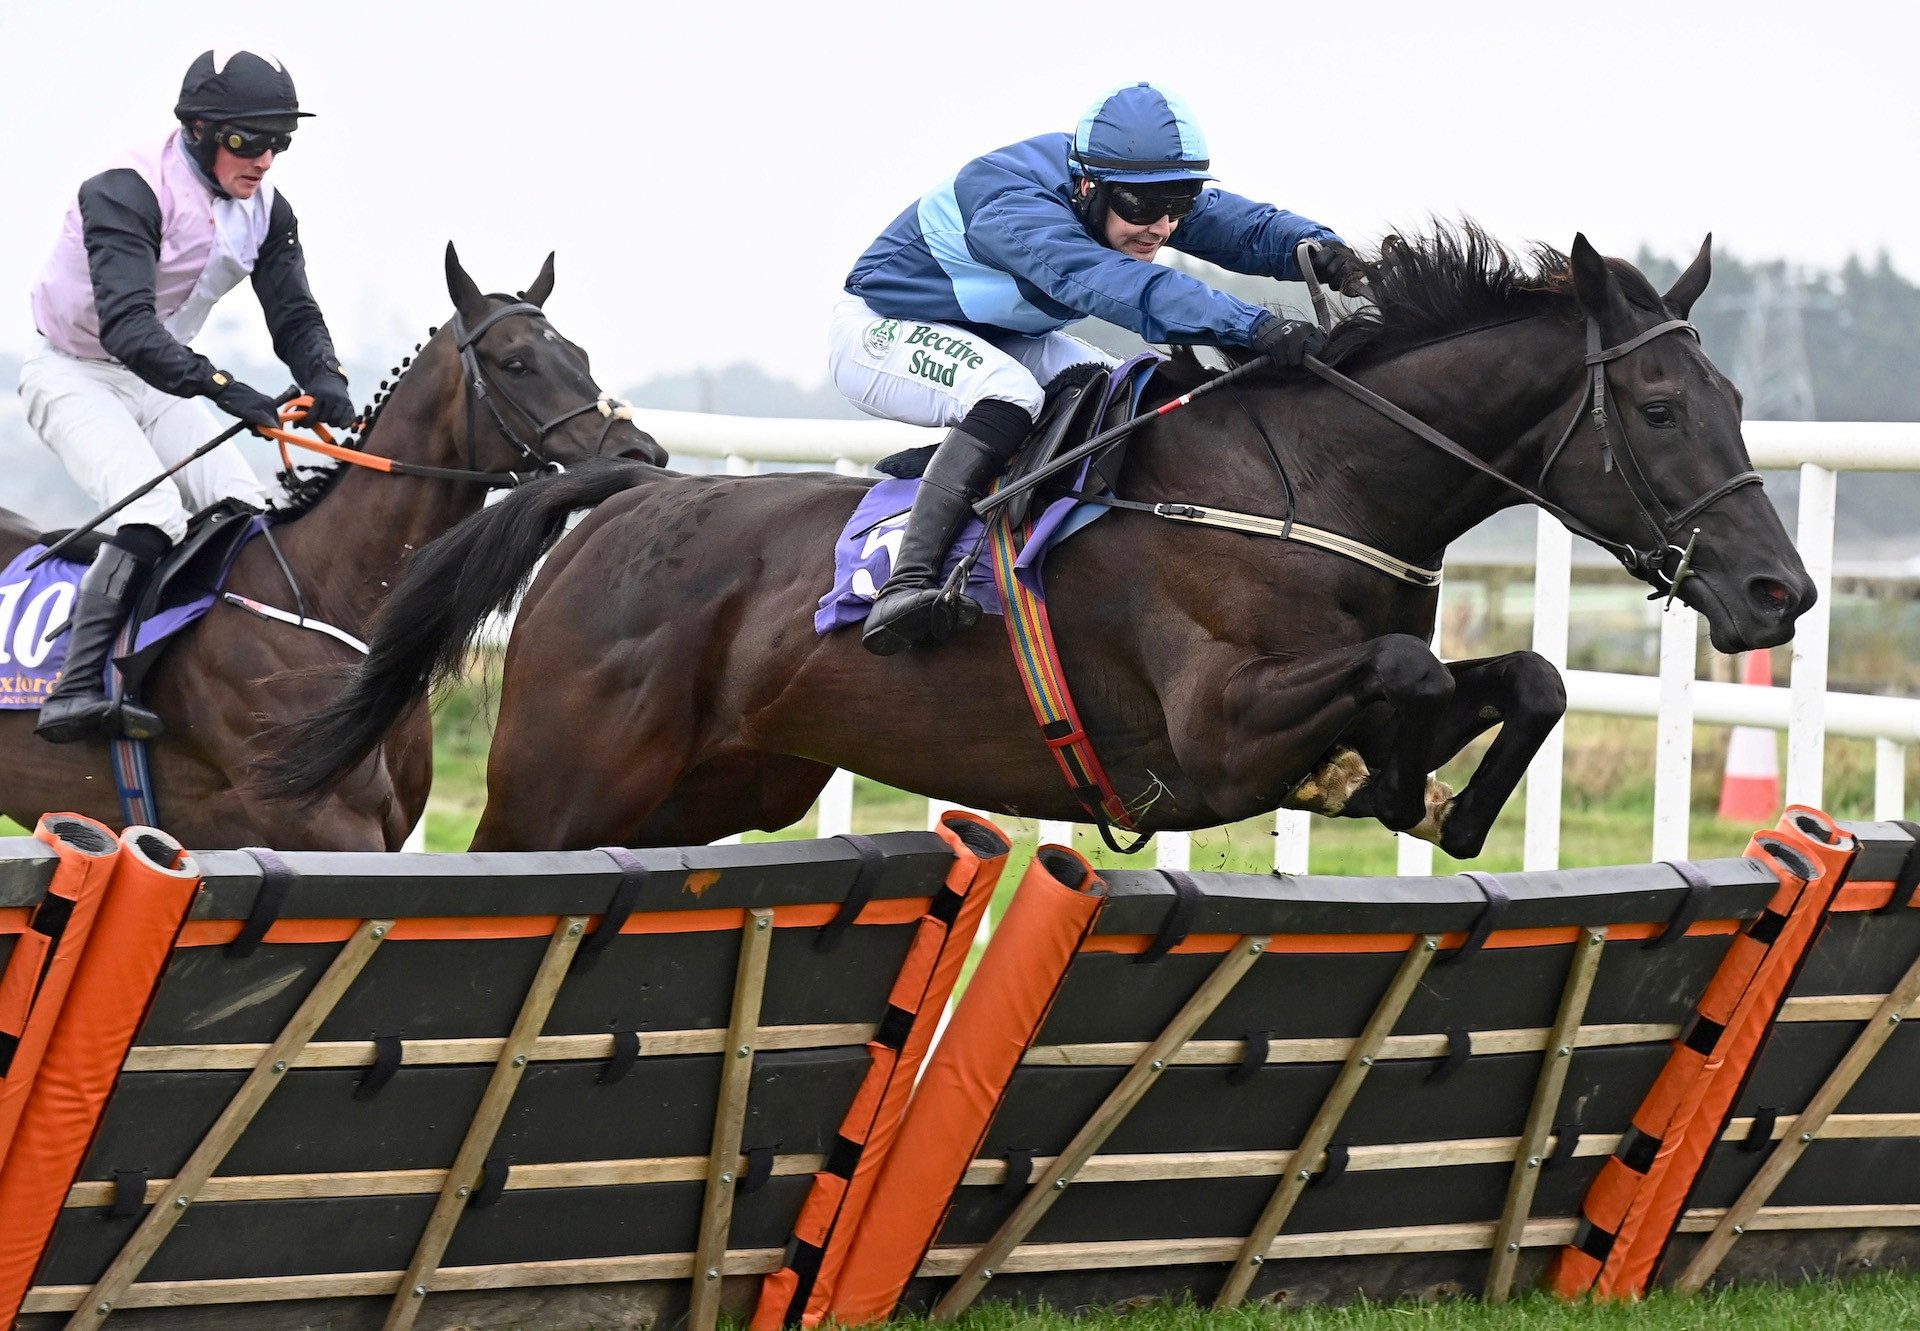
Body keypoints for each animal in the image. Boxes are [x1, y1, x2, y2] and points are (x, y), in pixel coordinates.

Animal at [266, 225, 1812, 852]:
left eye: (1743, 399)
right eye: (1661, 406)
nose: (1778, 587)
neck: (1311, 477)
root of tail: (623, 500)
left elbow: (1525, 676)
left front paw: (1439, 797)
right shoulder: (1214, 729)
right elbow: (1409, 676)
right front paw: (1377, 771)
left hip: (721, 785)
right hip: (564, 779)